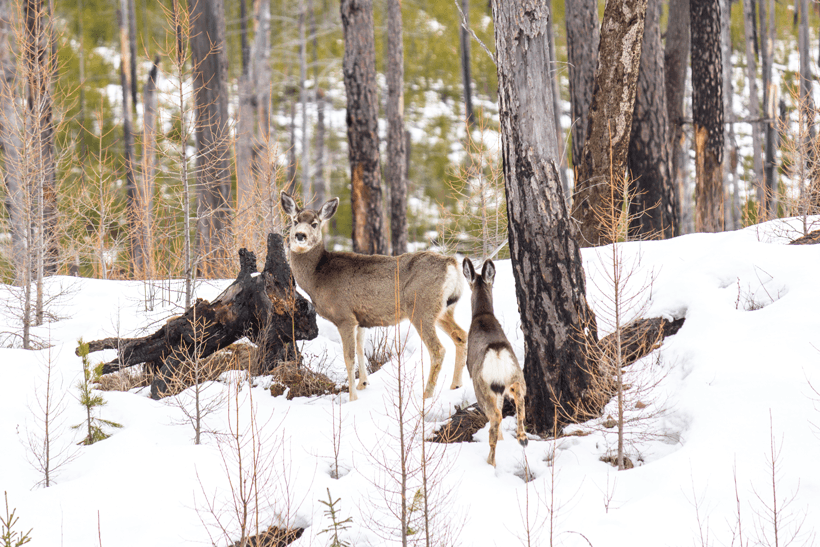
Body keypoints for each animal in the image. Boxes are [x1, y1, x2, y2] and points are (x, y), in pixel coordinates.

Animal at [280, 192, 467, 402]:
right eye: (295, 221)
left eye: (314, 223)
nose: (300, 235)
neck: (317, 276)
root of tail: (452, 264)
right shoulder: (361, 319)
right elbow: (361, 349)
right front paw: (362, 384)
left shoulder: (344, 316)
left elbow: (349, 357)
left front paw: (352, 397)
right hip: (444, 310)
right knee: (461, 335)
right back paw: (455, 385)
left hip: (421, 308)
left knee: (438, 350)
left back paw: (427, 394)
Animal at [462, 257, 527, 467]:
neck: (482, 316)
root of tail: (497, 353)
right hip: (516, 374)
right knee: (520, 400)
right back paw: (522, 437)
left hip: (482, 387)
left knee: (495, 416)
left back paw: (491, 461)